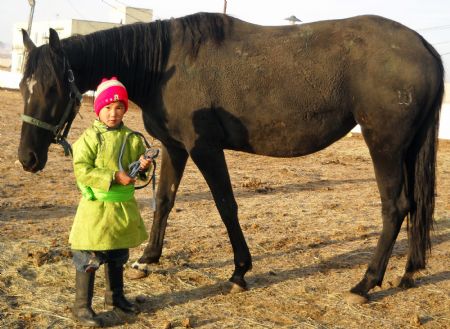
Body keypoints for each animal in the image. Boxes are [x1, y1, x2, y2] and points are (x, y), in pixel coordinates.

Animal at [17, 12, 442, 300]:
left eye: (53, 88)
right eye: (23, 85)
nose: (27, 159)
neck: (166, 65)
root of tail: (423, 46)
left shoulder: (204, 148)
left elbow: (226, 205)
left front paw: (239, 271)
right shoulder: (174, 148)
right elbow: (164, 200)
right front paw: (148, 259)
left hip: (384, 146)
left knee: (395, 206)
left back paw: (366, 283)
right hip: (406, 149)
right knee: (414, 206)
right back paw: (408, 272)